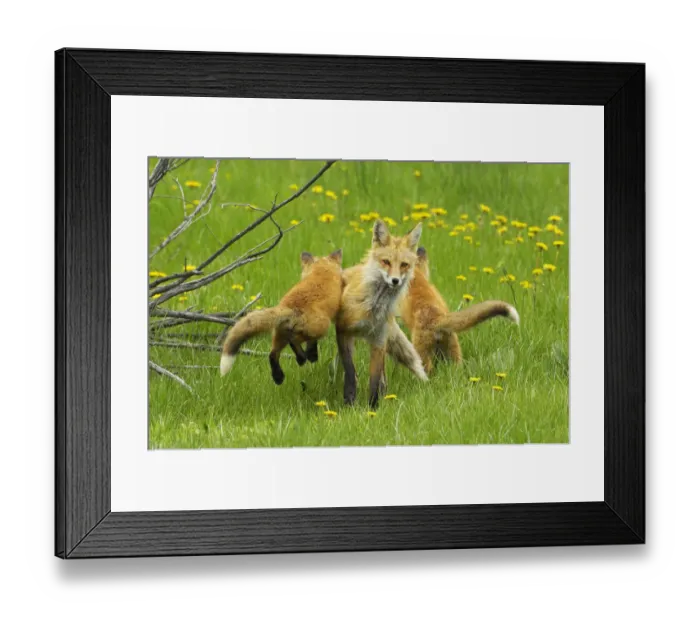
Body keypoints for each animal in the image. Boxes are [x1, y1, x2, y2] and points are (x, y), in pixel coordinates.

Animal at [220, 249, 343, 385]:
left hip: (279, 334)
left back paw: (279, 376)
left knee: (273, 354)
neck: (321, 271)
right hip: (320, 328)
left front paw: (312, 355)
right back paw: (301, 358)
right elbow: (311, 343)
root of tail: (289, 307)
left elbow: (311, 344)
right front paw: (312, 355)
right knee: (293, 341)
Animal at [335, 219, 428, 408]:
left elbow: (375, 380)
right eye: (386, 262)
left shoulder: (379, 340)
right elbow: (350, 372)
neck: (374, 307)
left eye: (404, 265)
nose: (395, 280)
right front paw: (349, 401)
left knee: (383, 377)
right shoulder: (343, 331)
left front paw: (373, 408)